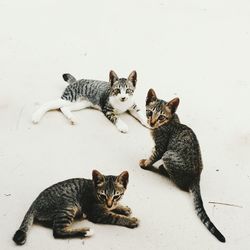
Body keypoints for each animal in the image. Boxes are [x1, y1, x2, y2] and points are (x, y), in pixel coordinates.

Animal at [140, 89, 226, 243]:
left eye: (161, 117)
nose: (152, 122)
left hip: (168, 154)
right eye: (150, 112)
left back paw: (163, 169)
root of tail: (197, 177)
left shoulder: (161, 147)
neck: (170, 120)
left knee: (180, 183)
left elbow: (153, 156)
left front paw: (145, 163)